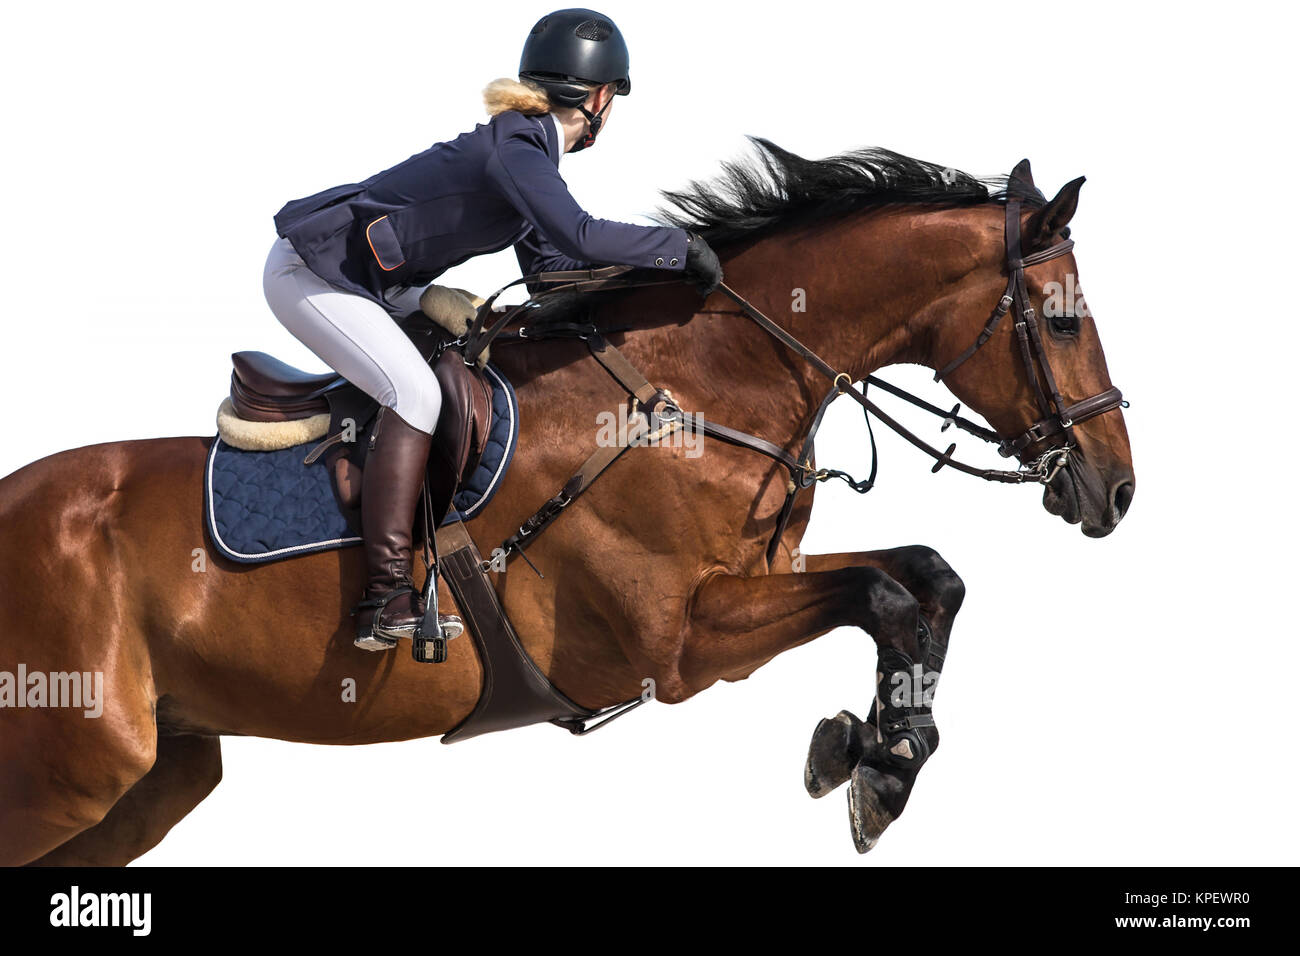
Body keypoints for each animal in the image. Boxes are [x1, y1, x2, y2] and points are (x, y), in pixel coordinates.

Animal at [0, 143, 1133, 865]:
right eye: (1062, 321)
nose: (1116, 489)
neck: (703, 384)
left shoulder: (753, 579)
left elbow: (925, 576)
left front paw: (882, 754)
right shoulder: (676, 643)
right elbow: (885, 593)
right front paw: (871, 761)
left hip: (152, 779)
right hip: (71, 767)